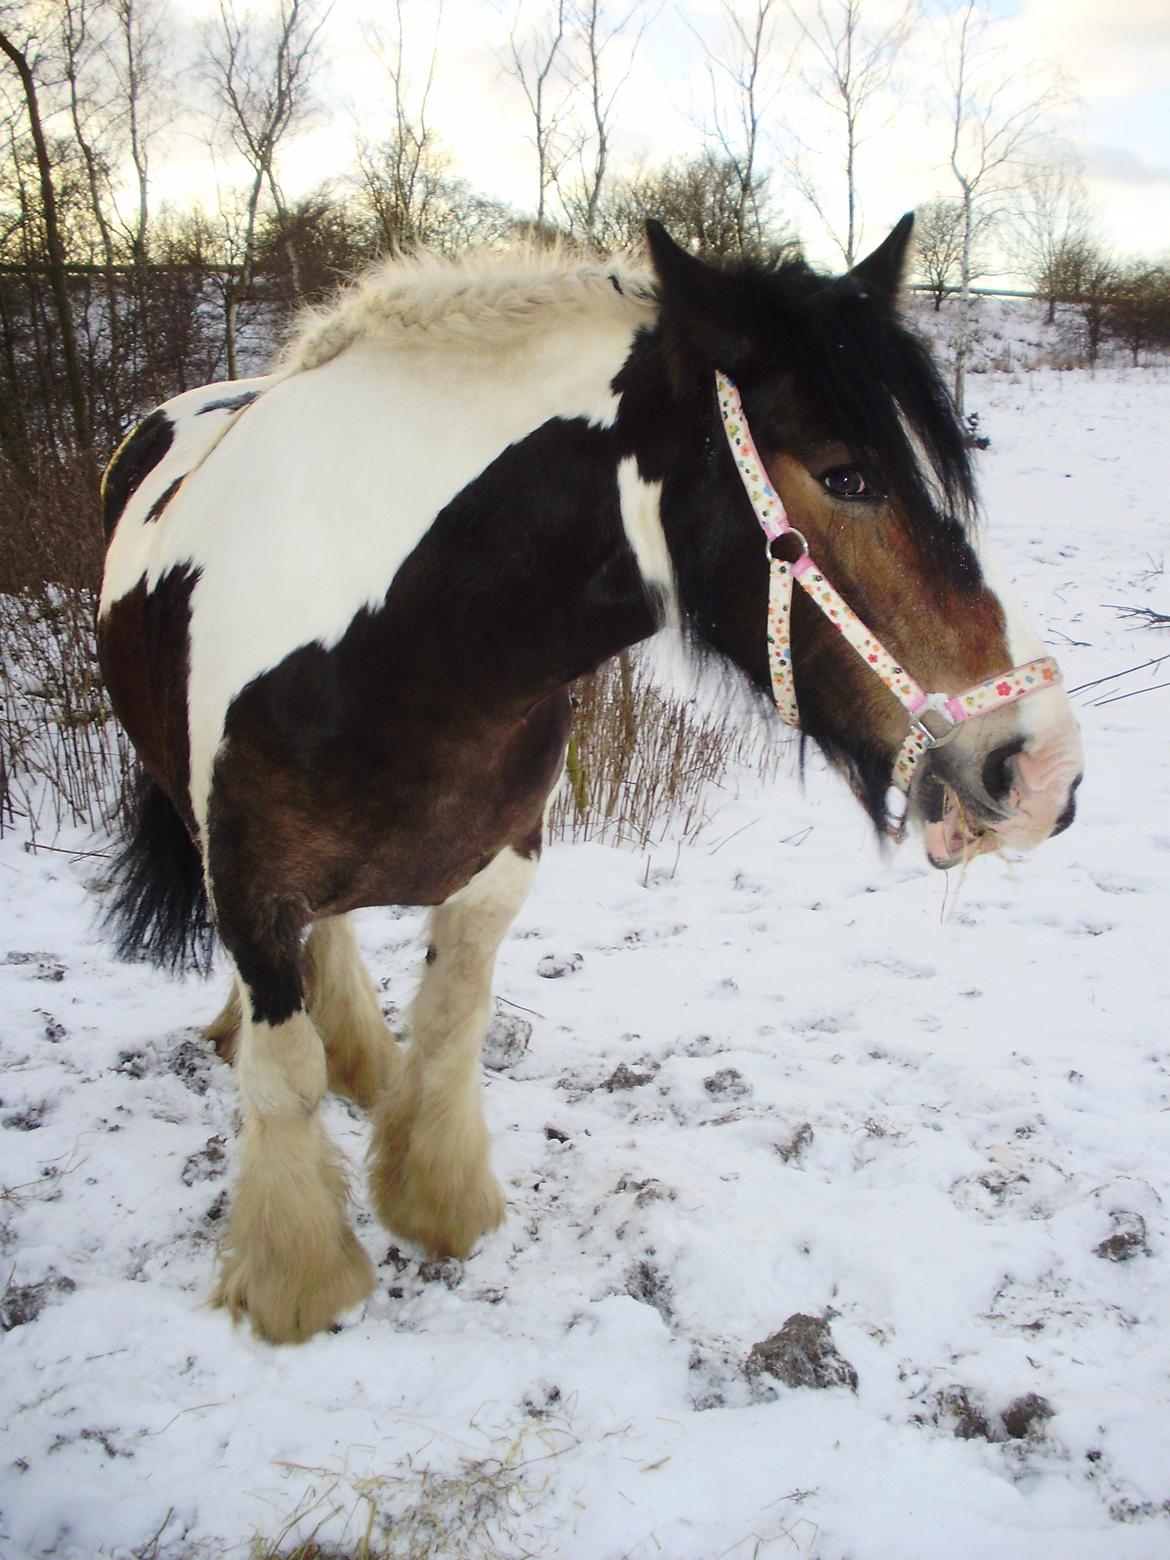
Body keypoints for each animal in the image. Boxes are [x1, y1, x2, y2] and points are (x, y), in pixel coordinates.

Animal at [96, 216, 1085, 1341]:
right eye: (847, 476)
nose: (1044, 768)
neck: (402, 655)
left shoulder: (499, 868)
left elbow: (452, 1030)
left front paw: (438, 1204)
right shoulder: (253, 890)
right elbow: (285, 1078)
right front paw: (297, 1284)